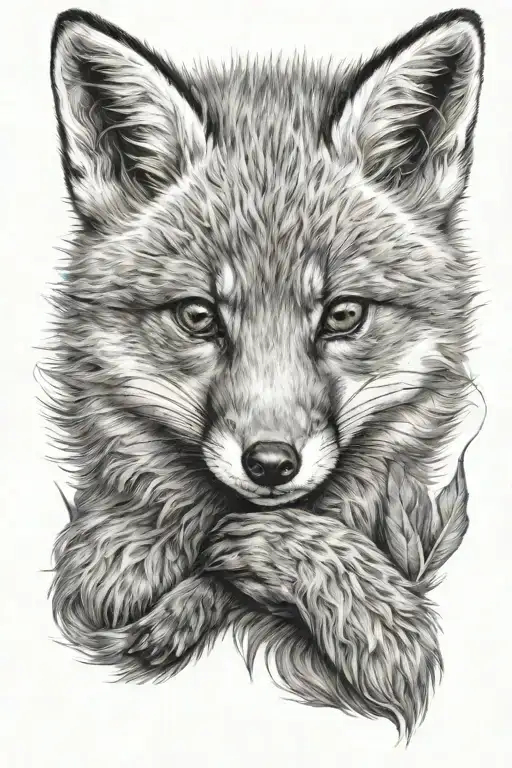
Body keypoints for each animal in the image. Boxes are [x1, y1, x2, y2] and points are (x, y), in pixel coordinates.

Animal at [44, 7, 485, 741]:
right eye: (198, 316)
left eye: (342, 315)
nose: (272, 464)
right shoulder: (86, 573)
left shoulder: (398, 638)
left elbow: (390, 625)